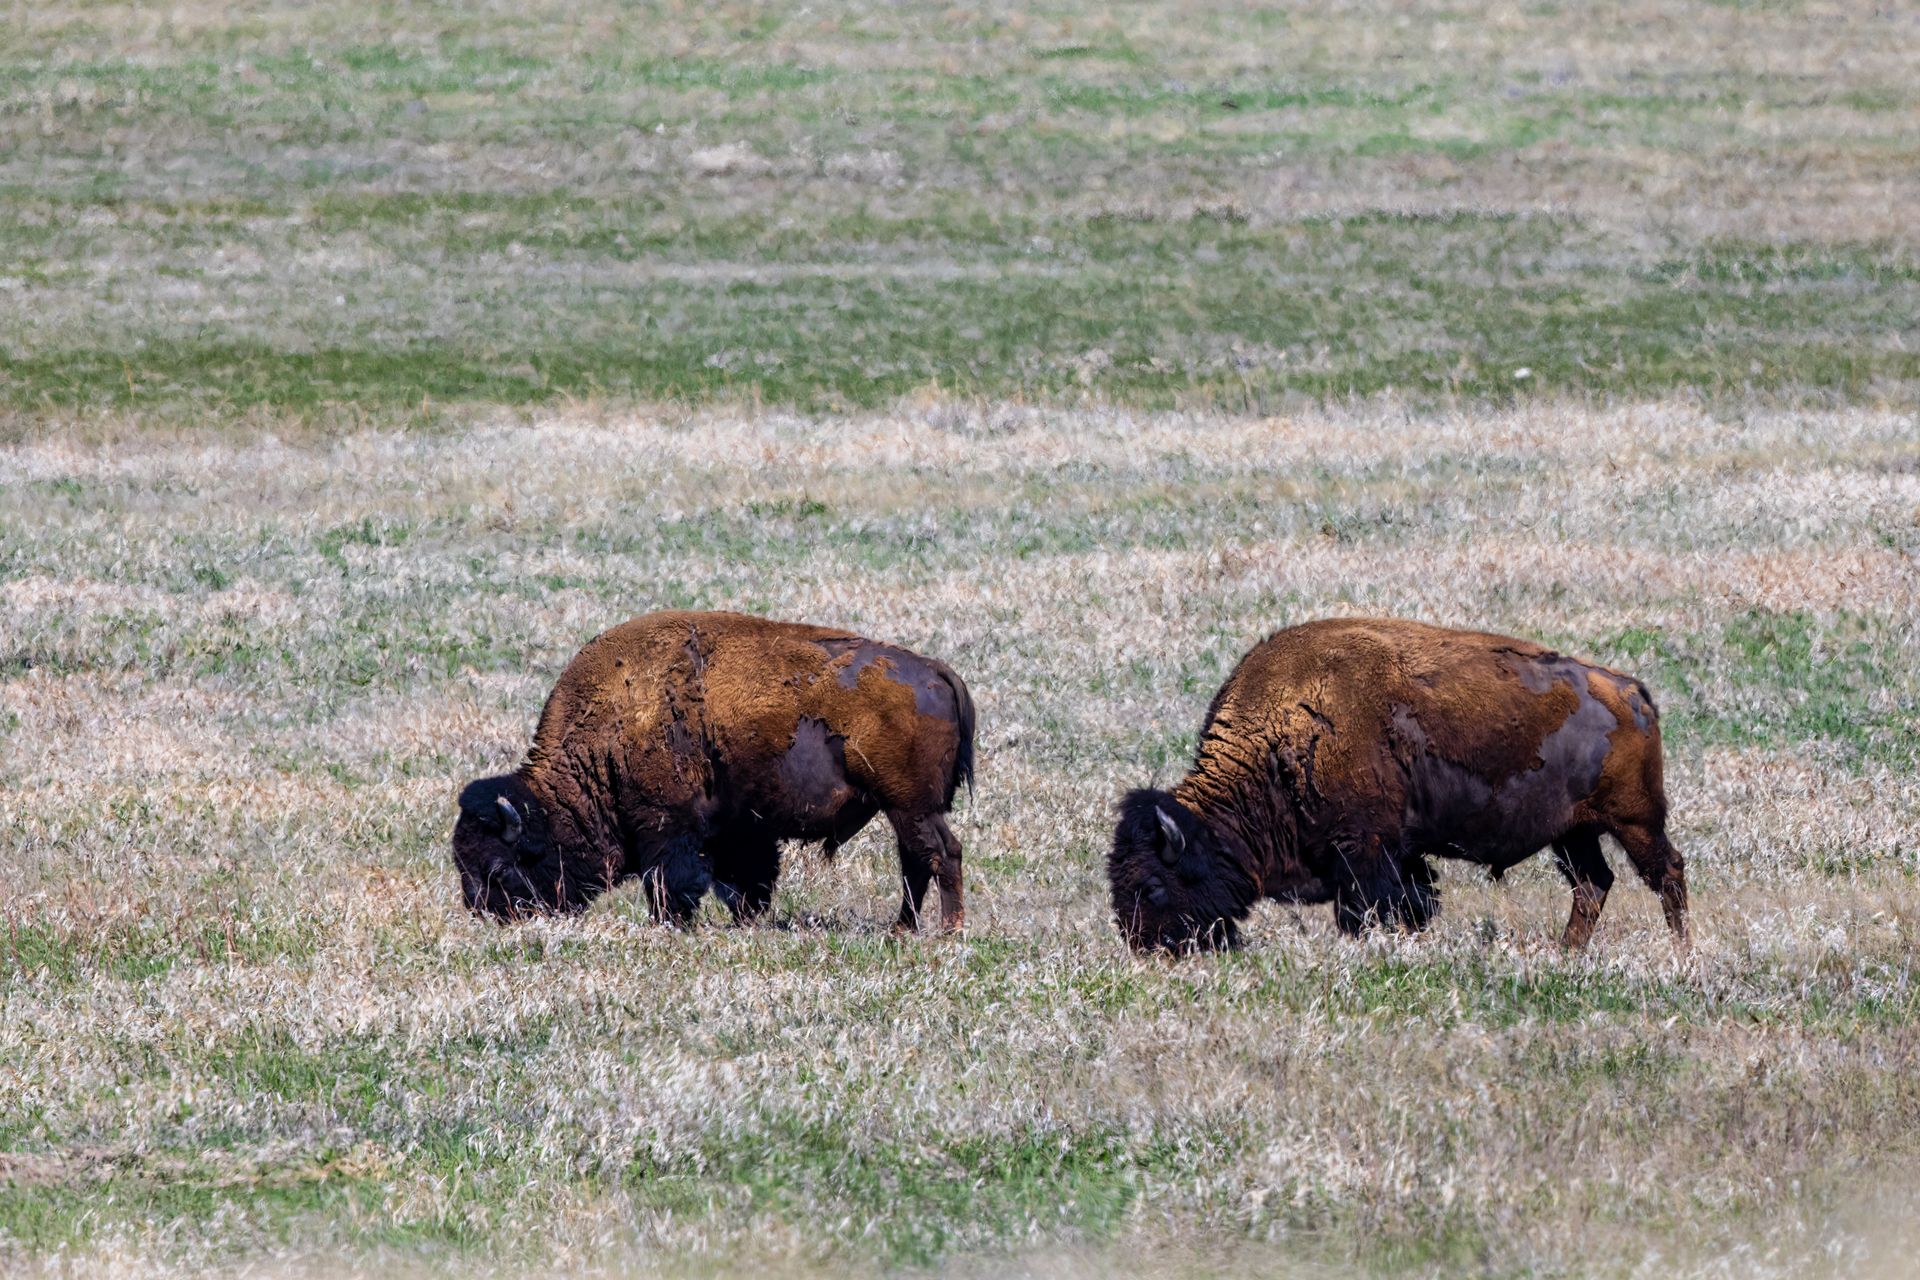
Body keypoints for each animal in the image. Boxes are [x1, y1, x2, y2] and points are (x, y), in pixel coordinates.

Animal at [455, 611, 974, 930]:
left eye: (498, 869)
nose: (487, 916)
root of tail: (935, 670)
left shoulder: (668, 824)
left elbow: (672, 879)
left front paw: (671, 924)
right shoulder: (738, 828)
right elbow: (746, 880)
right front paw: (745, 921)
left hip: (909, 805)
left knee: (939, 854)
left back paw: (945, 930)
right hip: (904, 809)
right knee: (917, 861)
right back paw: (903, 929)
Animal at [1110, 618, 1689, 954]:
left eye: (1152, 886)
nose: (1146, 948)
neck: (1280, 740)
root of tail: (1632, 692)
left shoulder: (1366, 850)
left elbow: (1376, 907)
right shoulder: (1397, 853)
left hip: (1634, 821)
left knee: (1666, 873)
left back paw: (1682, 952)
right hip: (1573, 832)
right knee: (1592, 883)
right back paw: (1566, 953)